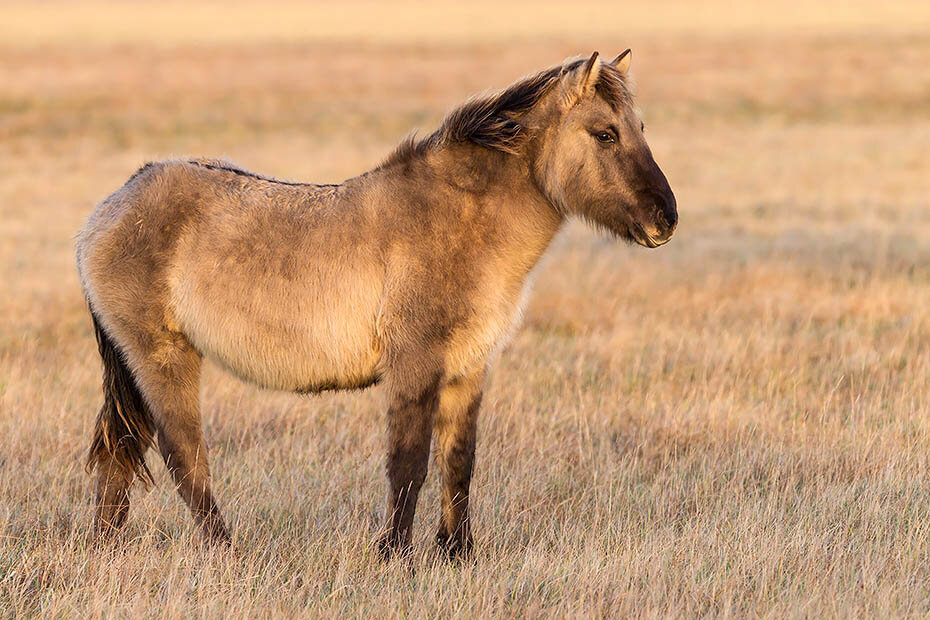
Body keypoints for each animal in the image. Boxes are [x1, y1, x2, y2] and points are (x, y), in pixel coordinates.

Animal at [74, 50, 676, 560]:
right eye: (604, 133)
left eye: (641, 129)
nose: (665, 219)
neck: (461, 221)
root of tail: (109, 209)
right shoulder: (415, 366)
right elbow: (408, 464)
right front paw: (394, 556)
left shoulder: (467, 370)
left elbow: (459, 463)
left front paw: (457, 555)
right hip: (164, 359)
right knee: (184, 457)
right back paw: (227, 551)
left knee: (121, 451)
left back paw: (108, 548)